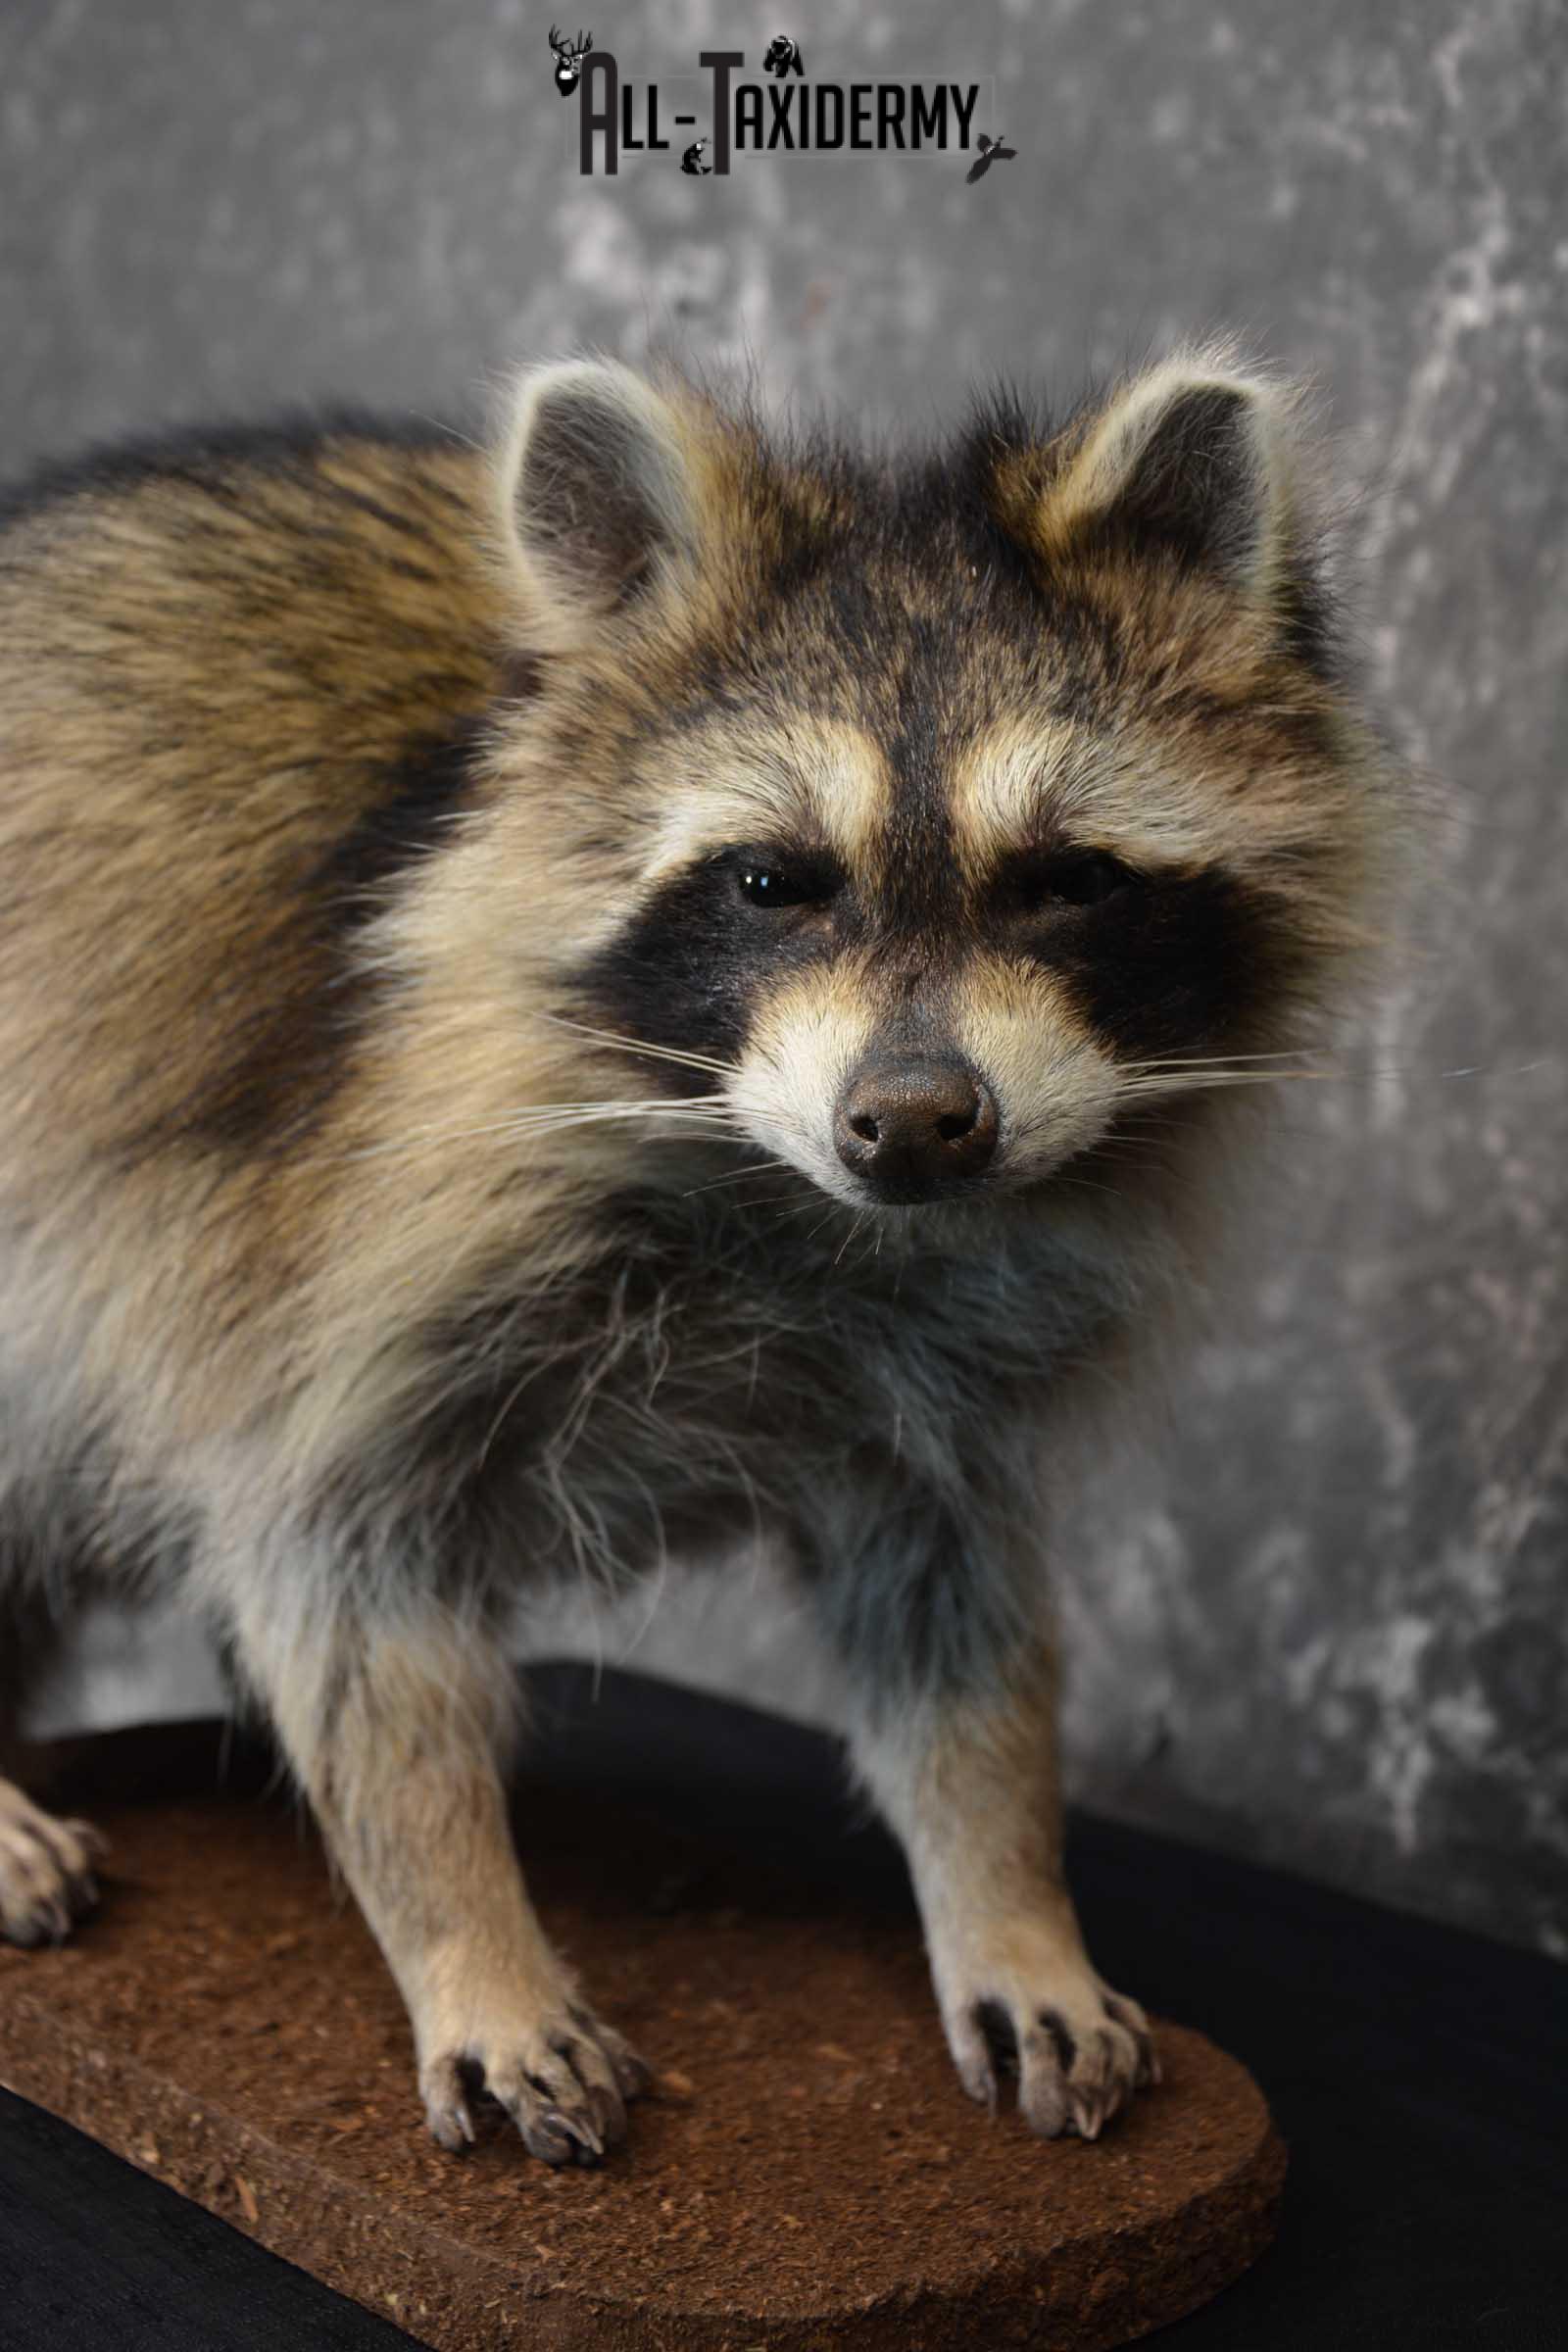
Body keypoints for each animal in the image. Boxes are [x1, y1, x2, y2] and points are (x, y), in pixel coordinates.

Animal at [0, 349, 1401, 2165]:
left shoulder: (940, 1377)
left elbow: (958, 1621)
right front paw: (464, 1927)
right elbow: (338, 1590)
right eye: (769, 881)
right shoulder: (329, 1248)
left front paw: (1010, 1893)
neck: (802, 1206)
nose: (919, 1121)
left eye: (1067, 883)